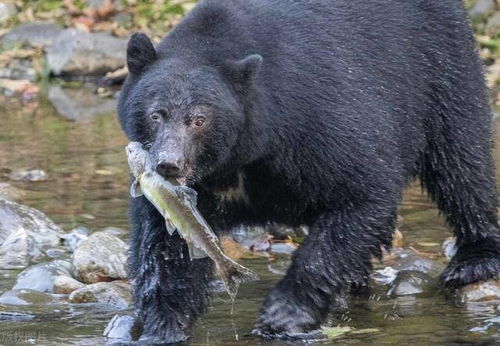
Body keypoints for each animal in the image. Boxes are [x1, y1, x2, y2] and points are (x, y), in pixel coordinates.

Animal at [118, 0, 500, 342]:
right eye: (156, 114)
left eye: (199, 119)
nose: (168, 164)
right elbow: (167, 246)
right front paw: (162, 327)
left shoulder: (313, 119)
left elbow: (361, 193)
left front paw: (283, 316)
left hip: (440, 65)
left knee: (460, 158)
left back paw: (475, 259)